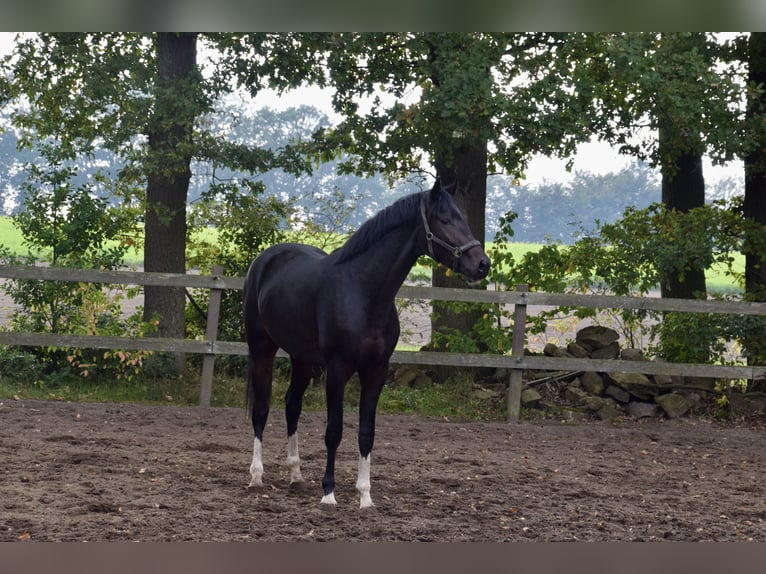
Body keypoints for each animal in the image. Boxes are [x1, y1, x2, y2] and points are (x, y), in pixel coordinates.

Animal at [243, 179, 490, 508]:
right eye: (446, 220)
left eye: (462, 218)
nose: (482, 265)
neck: (363, 291)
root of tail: (265, 259)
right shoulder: (337, 370)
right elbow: (334, 431)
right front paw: (329, 493)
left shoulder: (376, 372)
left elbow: (366, 433)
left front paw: (365, 496)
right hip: (262, 349)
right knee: (261, 410)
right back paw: (256, 476)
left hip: (302, 359)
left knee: (292, 406)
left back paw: (296, 476)